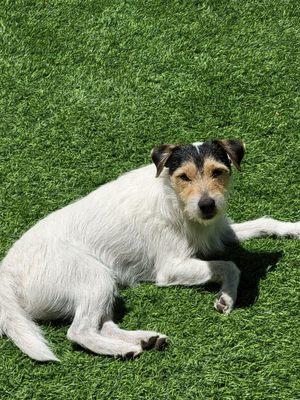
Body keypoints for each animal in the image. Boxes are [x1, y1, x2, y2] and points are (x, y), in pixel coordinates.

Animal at [0, 139, 300, 360]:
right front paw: (227, 296)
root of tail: (8, 270)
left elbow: (264, 222)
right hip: (95, 277)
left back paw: (145, 339)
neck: (174, 200)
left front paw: (293, 228)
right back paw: (125, 349)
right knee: (79, 332)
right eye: (183, 177)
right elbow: (230, 266)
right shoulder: (171, 268)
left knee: (103, 324)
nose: (207, 205)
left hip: (103, 287)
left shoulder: (219, 232)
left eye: (218, 172)